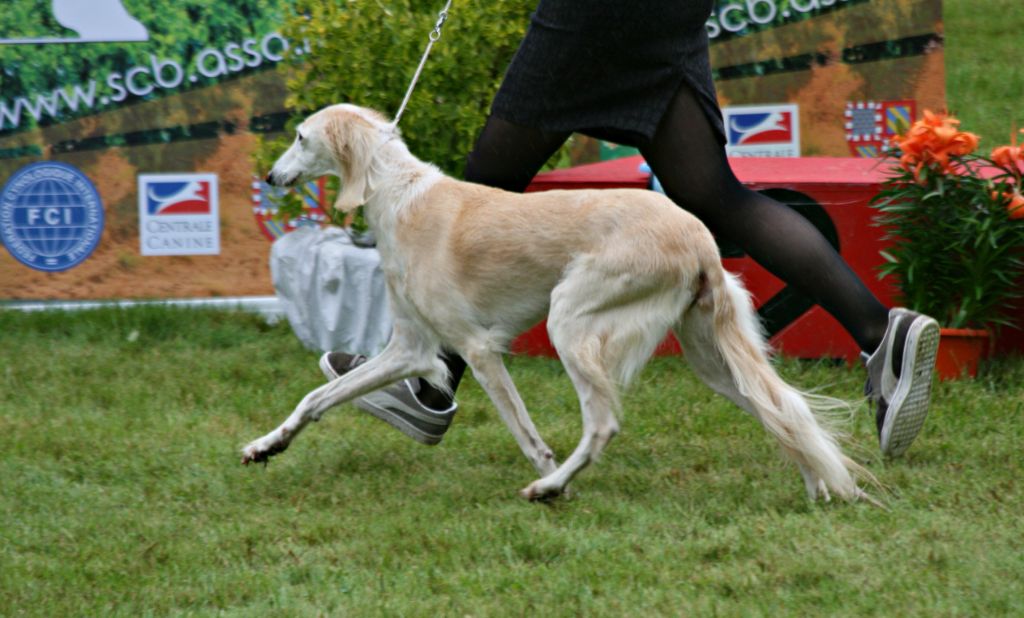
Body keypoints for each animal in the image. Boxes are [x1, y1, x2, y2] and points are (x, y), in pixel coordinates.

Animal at [241, 104, 872, 501]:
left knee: (604, 423)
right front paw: (268, 445)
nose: (269, 176)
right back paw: (816, 483)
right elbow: (317, 397)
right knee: (779, 409)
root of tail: (699, 239)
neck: (403, 197)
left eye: (300, 137)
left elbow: (525, 433)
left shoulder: (475, 347)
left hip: (570, 320)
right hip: (710, 359)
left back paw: (551, 488)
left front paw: (549, 474)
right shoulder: (410, 349)